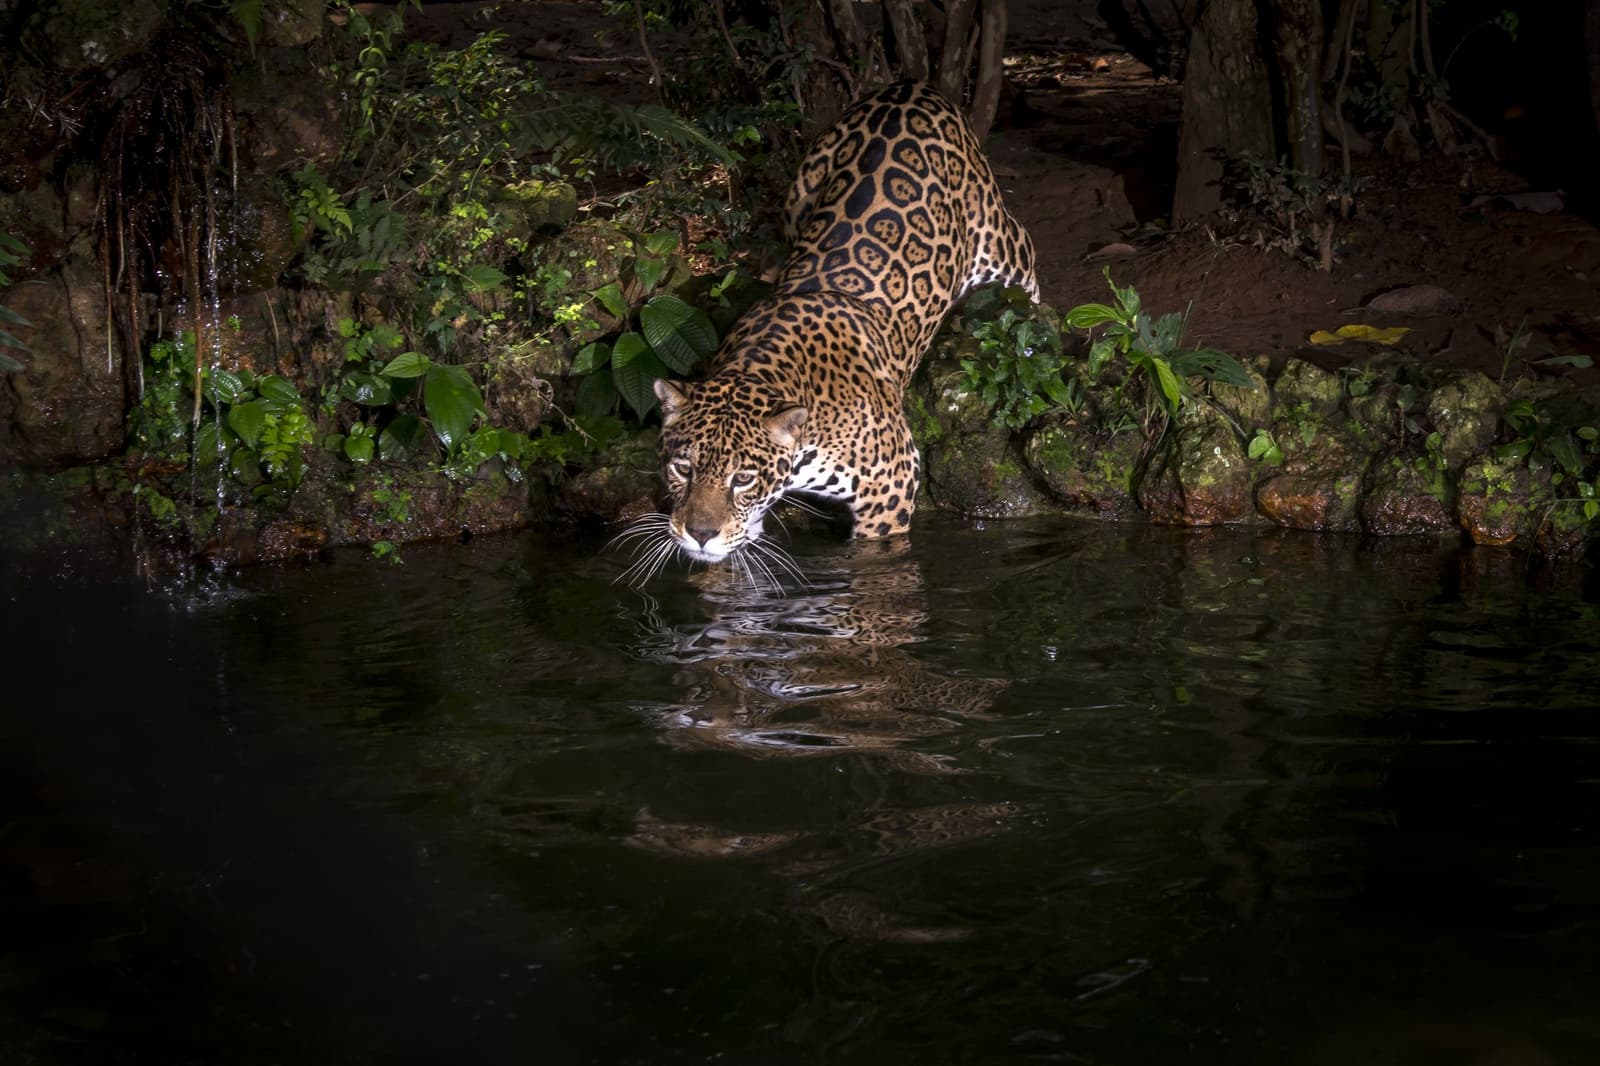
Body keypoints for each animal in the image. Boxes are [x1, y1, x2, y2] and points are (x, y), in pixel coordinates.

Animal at [628, 81, 1038, 580]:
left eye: (742, 478)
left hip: (995, 242)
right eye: (683, 469)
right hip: (801, 190)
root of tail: (910, 86)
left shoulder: (891, 485)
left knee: (1024, 249)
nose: (699, 533)